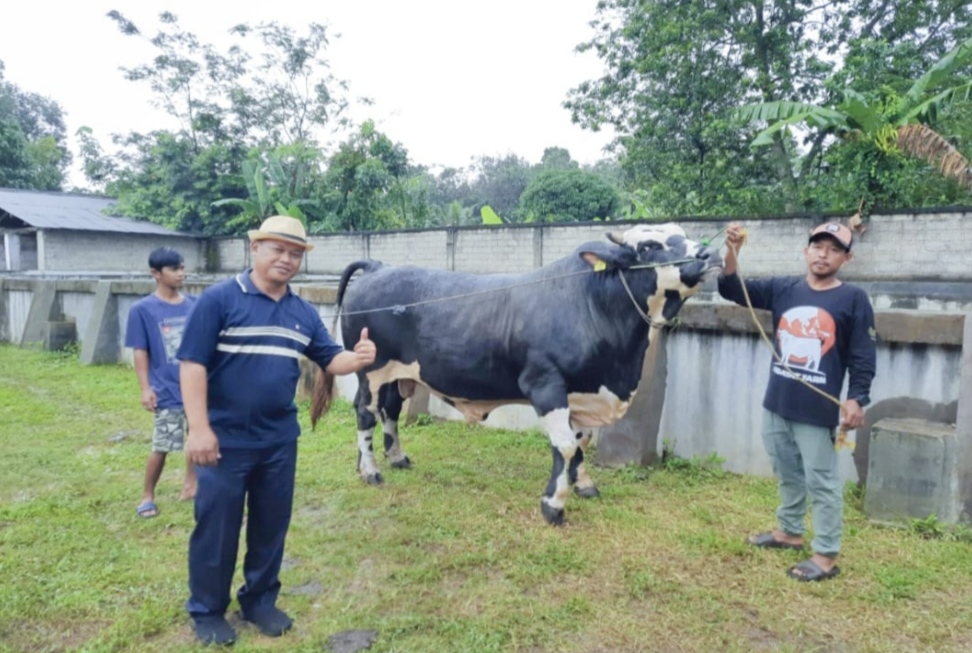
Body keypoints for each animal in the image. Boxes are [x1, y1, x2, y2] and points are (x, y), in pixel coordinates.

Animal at [312, 225, 720, 524]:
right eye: (649, 245)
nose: (709, 254)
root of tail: (379, 266)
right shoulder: (545, 385)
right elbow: (565, 445)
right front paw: (554, 504)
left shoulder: (583, 391)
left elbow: (582, 441)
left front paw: (585, 485)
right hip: (370, 370)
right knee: (366, 414)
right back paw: (370, 471)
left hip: (399, 376)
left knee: (392, 410)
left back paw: (395, 458)